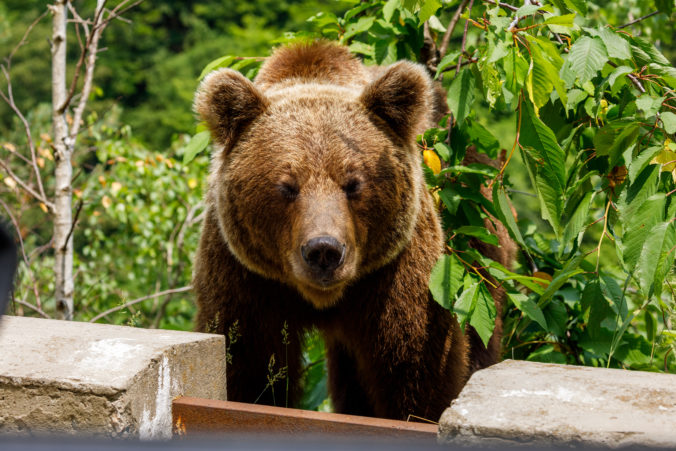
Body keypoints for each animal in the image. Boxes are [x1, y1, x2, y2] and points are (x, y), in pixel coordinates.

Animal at [190, 40, 512, 422]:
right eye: (287, 186)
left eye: (354, 183)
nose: (324, 250)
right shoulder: (245, 278)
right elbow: (247, 368)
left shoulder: (396, 274)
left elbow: (416, 370)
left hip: (478, 229)